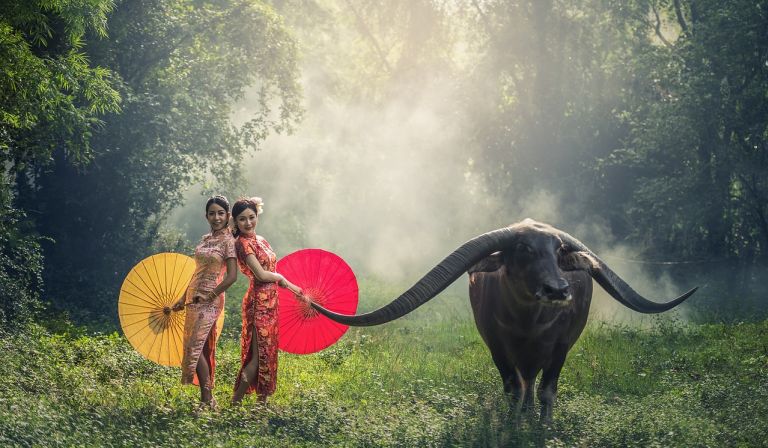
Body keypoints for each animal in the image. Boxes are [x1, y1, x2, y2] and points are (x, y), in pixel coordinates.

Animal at [310, 219, 697, 422]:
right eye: (524, 249)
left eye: (559, 251)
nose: (558, 289)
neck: (529, 323)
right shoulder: (495, 345)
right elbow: (514, 388)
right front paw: (514, 424)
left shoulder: (560, 348)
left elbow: (546, 391)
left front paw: (541, 427)